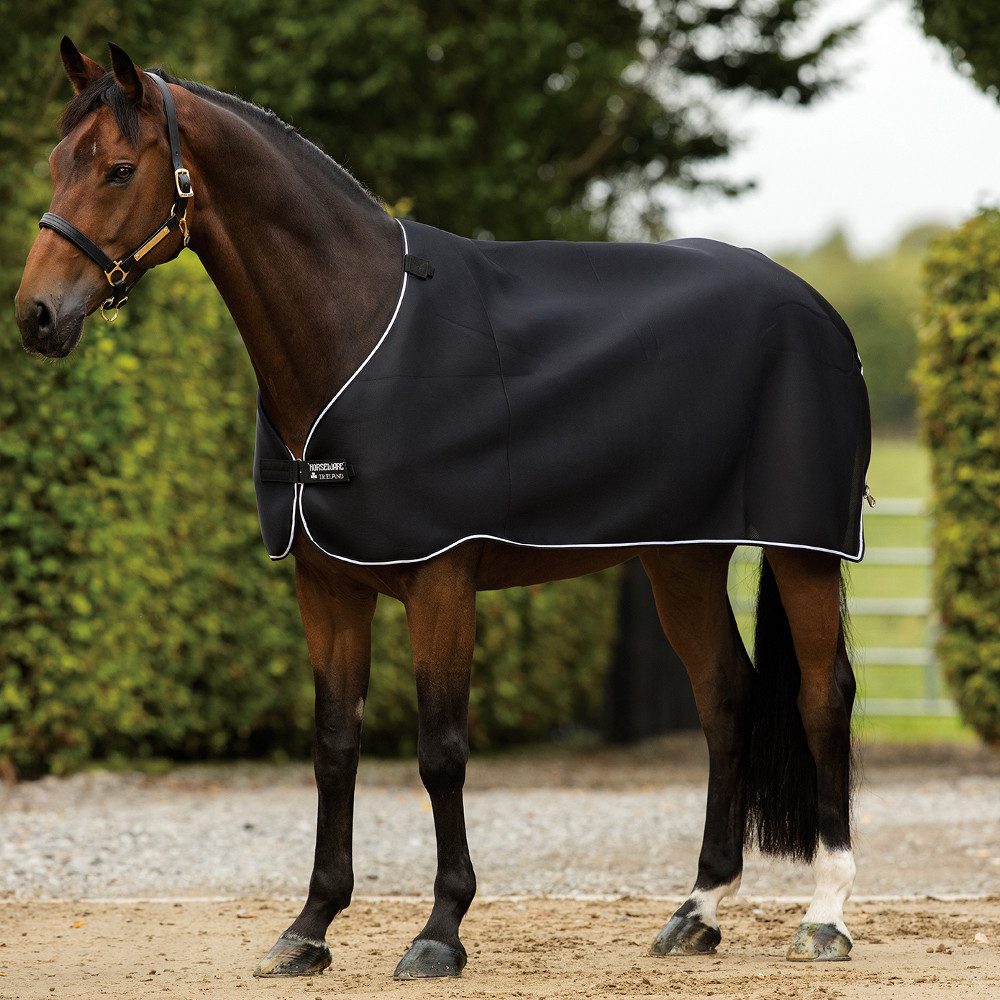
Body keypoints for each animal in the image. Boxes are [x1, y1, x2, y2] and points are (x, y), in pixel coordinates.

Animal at [15, 38, 868, 979]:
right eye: (57, 162)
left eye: (119, 168)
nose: (37, 316)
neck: (357, 329)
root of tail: (816, 307)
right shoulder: (328, 588)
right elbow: (335, 747)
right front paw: (309, 927)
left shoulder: (442, 582)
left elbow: (441, 750)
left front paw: (440, 930)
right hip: (681, 557)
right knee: (725, 696)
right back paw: (697, 910)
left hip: (802, 550)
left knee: (823, 695)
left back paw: (824, 916)